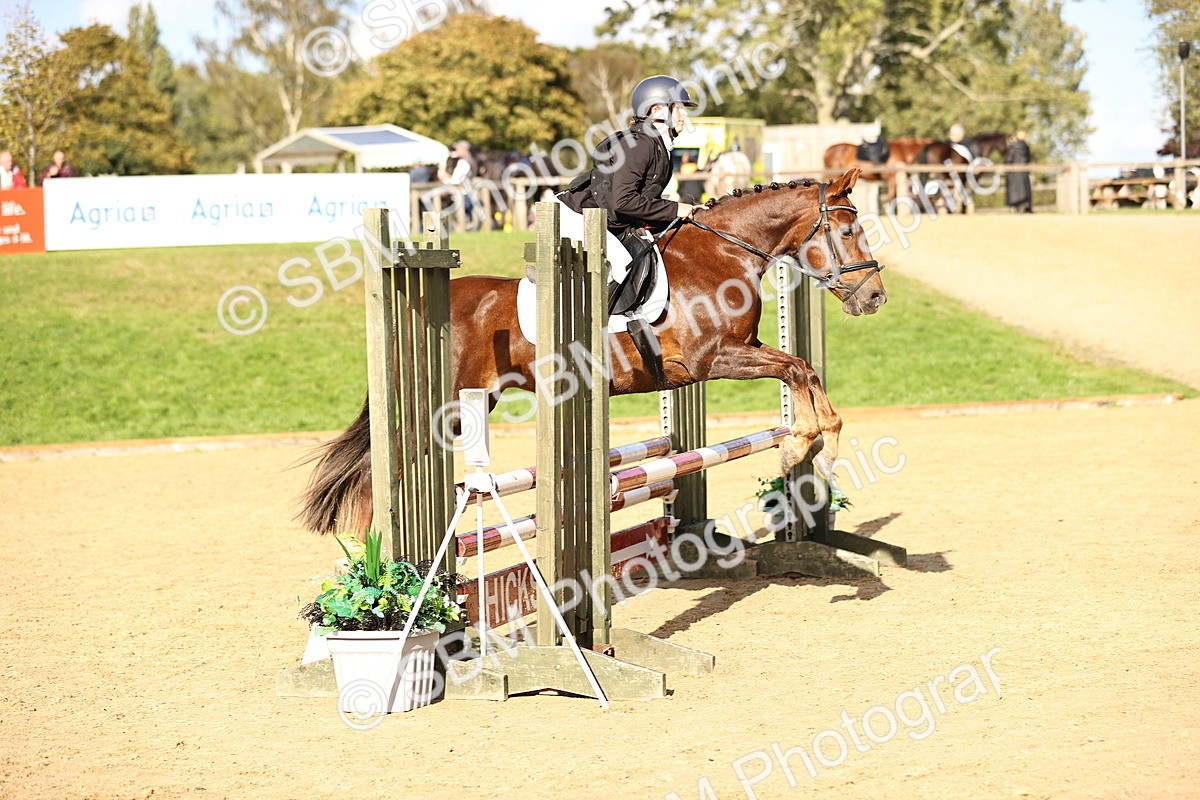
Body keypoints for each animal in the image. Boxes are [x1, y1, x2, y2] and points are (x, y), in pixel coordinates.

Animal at [299, 169, 888, 535]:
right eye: (848, 229)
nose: (875, 297)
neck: (721, 254)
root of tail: (420, 300)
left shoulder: (741, 349)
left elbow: (801, 369)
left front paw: (813, 446)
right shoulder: (714, 359)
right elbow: (795, 369)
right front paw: (806, 446)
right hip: (439, 409)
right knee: (382, 471)